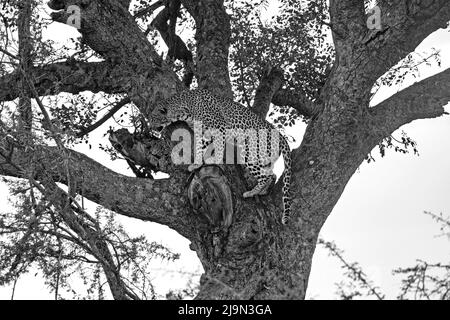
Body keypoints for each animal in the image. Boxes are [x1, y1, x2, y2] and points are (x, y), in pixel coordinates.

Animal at [149, 88, 292, 225]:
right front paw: (196, 163)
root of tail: (281, 136)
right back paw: (262, 191)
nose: (150, 128)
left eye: (153, 119)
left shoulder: (220, 126)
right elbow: (200, 147)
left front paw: (214, 159)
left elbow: (219, 145)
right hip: (263, 157)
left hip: (249, 152)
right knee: (271, 174)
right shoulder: (204, 133)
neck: (185, 110)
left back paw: (251, 192)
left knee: (265, 176)